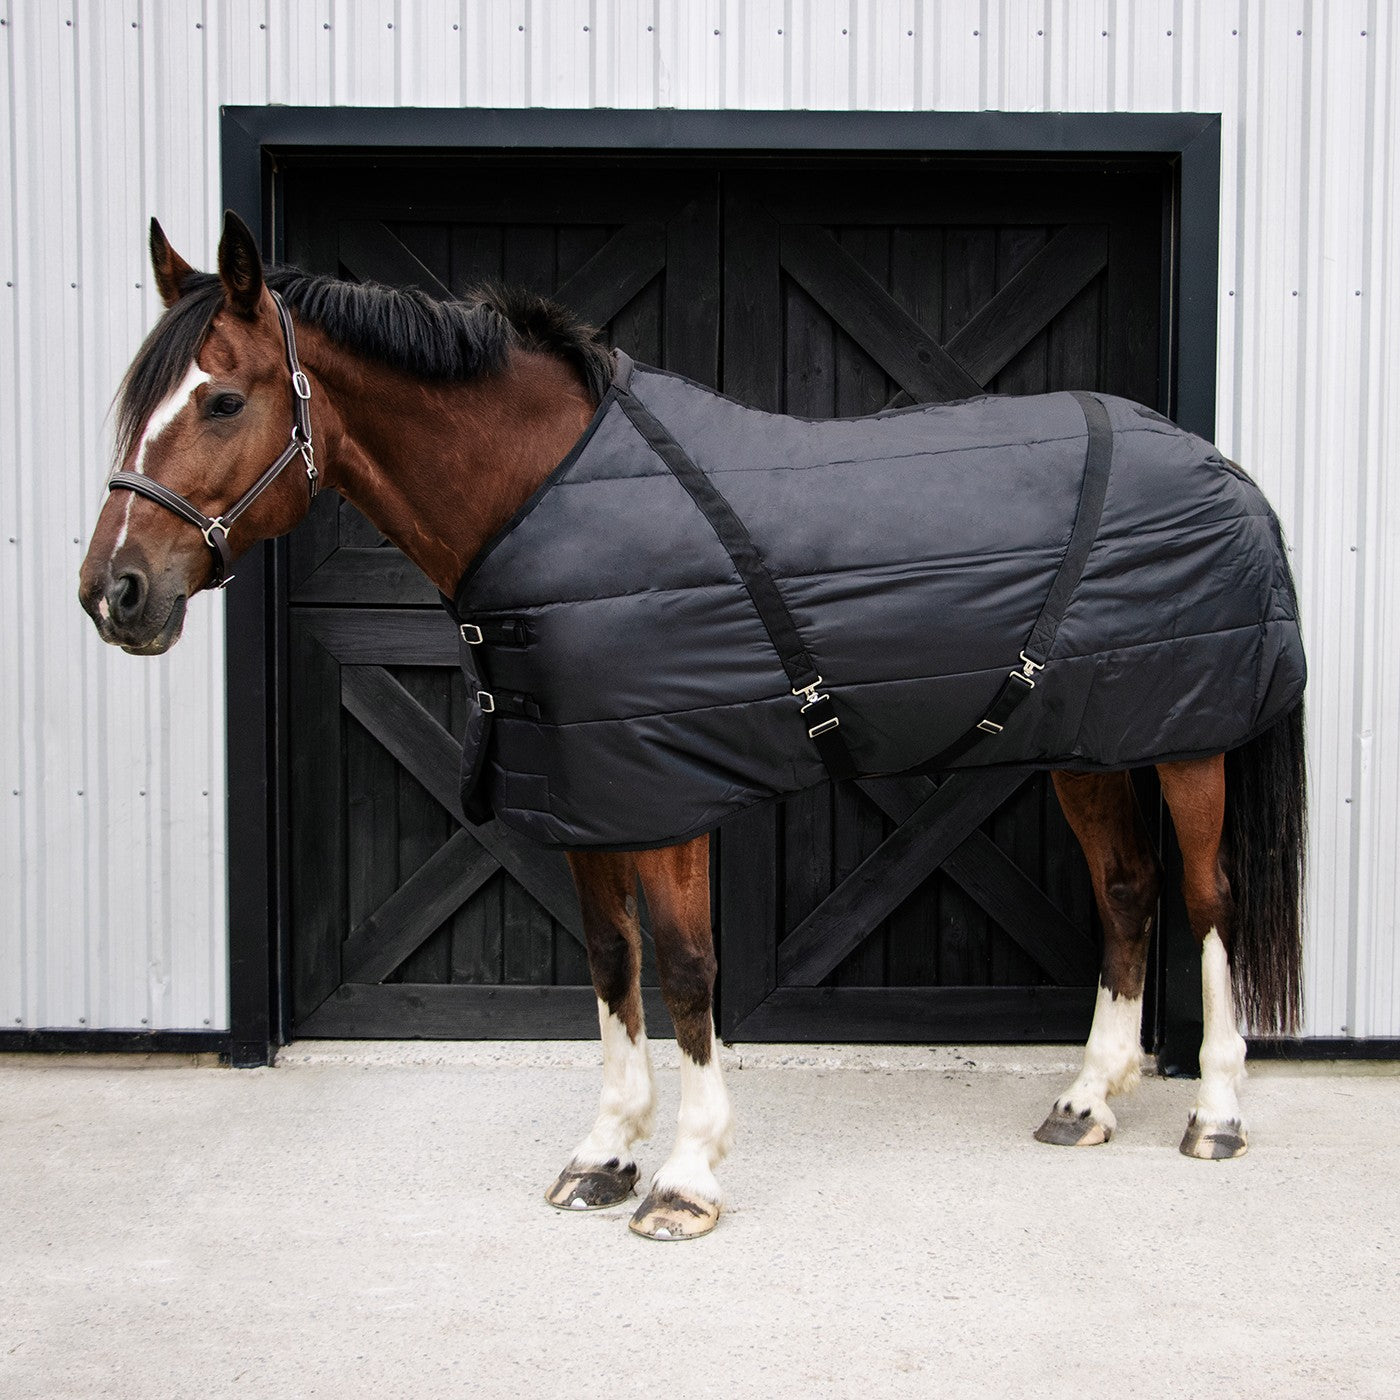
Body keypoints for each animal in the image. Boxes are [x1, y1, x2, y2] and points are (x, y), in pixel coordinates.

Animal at [79, 212, 1306, 1241]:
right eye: (136, 402)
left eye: (223, 400)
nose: (115, 592)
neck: (551, 496)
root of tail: (1221, 467)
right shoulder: (586, 790)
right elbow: (612, 962)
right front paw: (604, 1153)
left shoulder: (666, 792)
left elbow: (685, 968)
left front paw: (684, 1176)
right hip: (1087, 745)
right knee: (1126, 891)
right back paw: (1088, 1099)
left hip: (1189, 745)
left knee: (1205, 901)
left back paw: (1215, 1112)